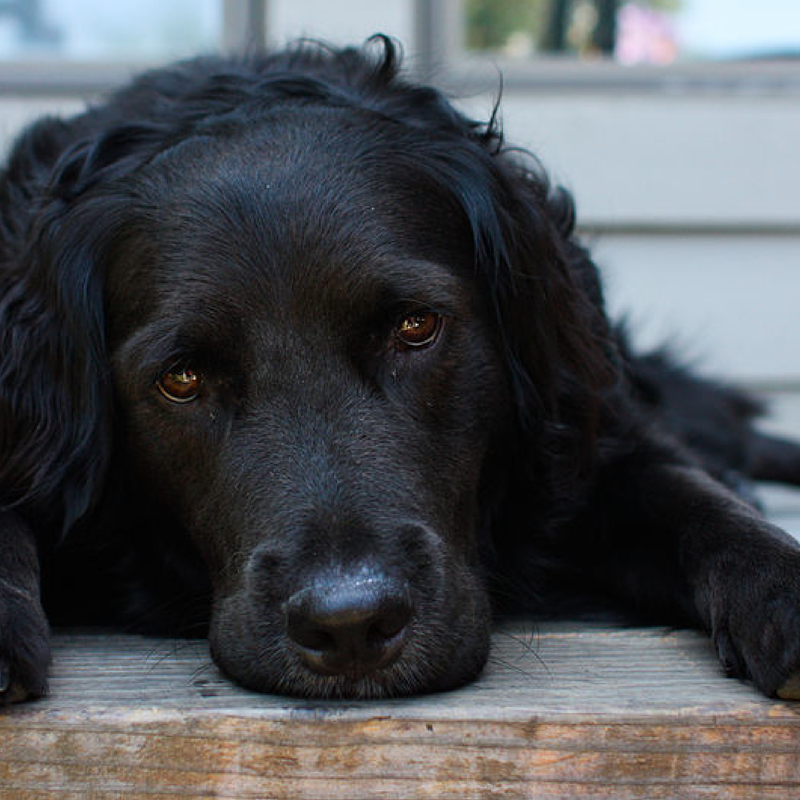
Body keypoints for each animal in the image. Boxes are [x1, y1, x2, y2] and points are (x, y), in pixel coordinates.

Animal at [1, 37, 800, 700]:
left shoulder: (592, 443)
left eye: (416, 327)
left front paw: (780, 587)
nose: (349, 625)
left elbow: (692, 497)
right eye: (182, 379)